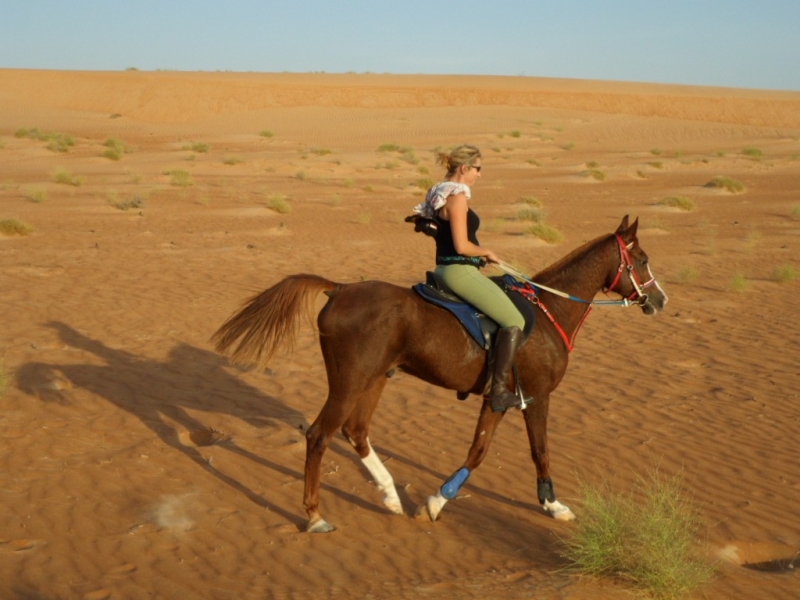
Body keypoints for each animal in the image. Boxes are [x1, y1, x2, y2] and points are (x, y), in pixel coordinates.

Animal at [212, 213, 668, 532]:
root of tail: (338, 289)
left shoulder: (500, 400)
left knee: (356, 432)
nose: (660, 300)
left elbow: (479, 450)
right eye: (643, 260)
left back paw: (391, 496)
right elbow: (533, 451)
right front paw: (550, 506)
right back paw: (315, 516)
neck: (550, 310)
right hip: (348, 382)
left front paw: (434, 501)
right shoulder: (535, 396)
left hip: (374, 380)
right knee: (319, 436)